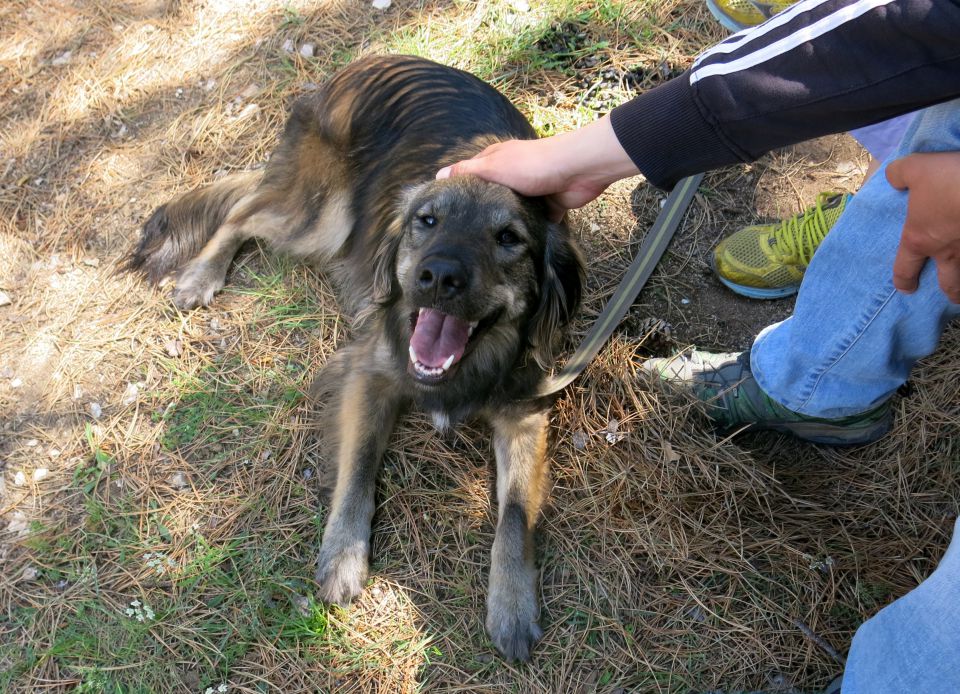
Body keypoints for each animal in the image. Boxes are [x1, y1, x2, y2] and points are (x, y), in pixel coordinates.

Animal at [128, 54, 584, 664]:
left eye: (509, 238)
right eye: (427, 220)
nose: (437, 277)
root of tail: (355, 67)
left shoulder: (524, 408)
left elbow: (513, 516)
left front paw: (512, 605)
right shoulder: (368, 374)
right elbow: (360, 466)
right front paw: (343, 557)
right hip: (322, 219)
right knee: (244, 212)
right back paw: (202, 273)